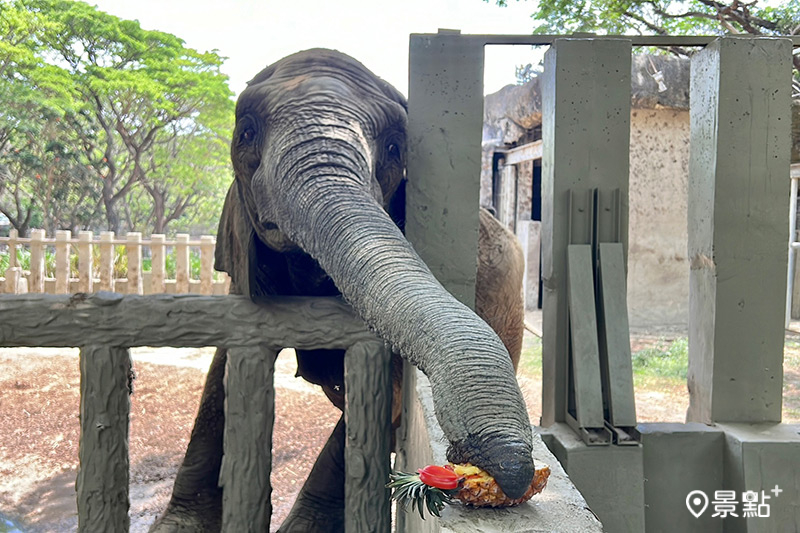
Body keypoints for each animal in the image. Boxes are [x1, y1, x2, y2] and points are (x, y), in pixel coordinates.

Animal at [153, 47, 536, 528]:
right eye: (246, 131)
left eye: (393, 148)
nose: (511, 468)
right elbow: (225, 362)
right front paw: (178, 525)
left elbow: (385, 401)